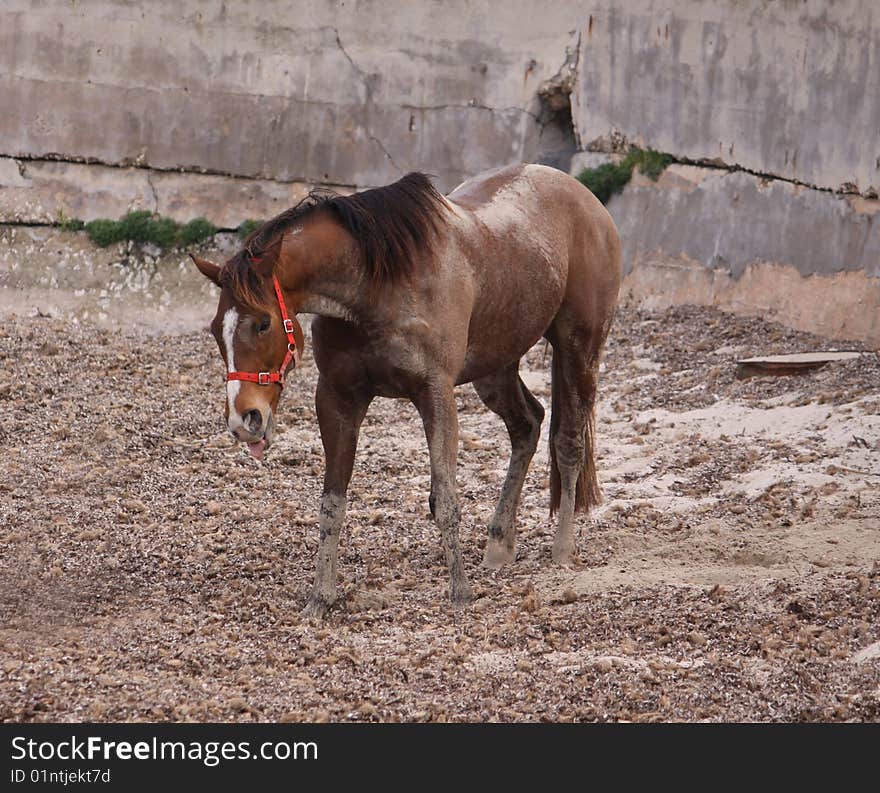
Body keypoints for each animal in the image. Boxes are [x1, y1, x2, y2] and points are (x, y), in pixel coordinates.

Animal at [192, 164, 620, 616]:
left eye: (263, 323)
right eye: (216, 330)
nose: (244, 420)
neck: (374, 288)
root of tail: (585, 198)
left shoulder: (436, 395)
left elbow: (445, 498)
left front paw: (460, 593)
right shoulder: (338, 399)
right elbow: (332, 503)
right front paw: (320, 598)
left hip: (579, 348)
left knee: (568, 443)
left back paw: (563, 548)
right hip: (495, 368)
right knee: (528, 425)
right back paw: (499, 542)